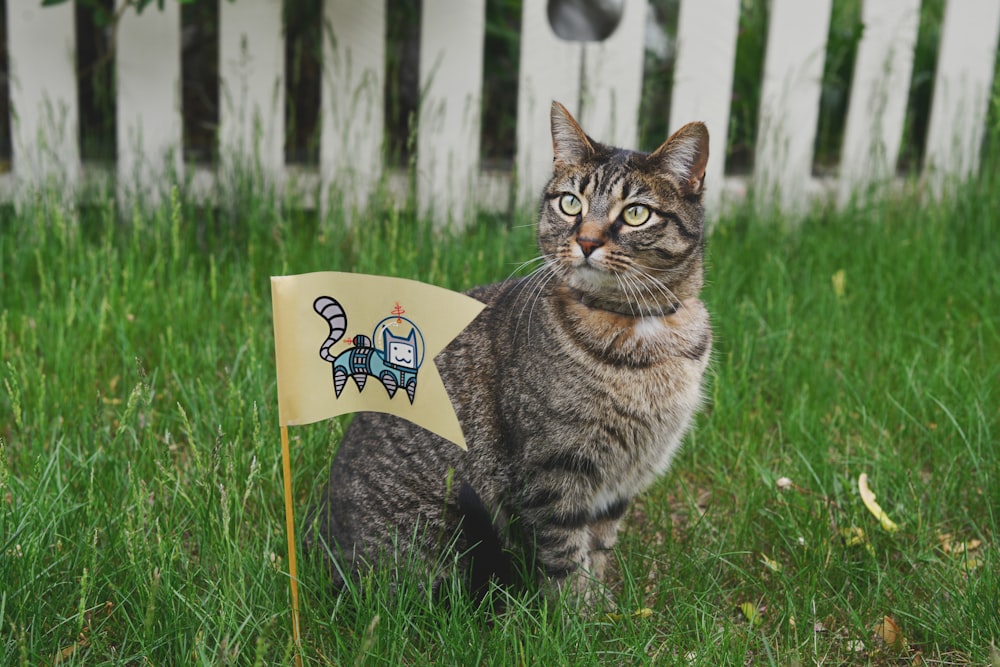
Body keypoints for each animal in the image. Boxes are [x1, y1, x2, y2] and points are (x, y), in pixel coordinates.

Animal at [310, 100, 712, 604]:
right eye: (570, 203)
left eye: (637, 213)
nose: (587, 241)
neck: (642, 331)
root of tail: (328, 556)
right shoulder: (554, 467)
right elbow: (565, 554)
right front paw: (577, 615)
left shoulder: (622, 480)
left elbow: (600, 544)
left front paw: (602, 605)